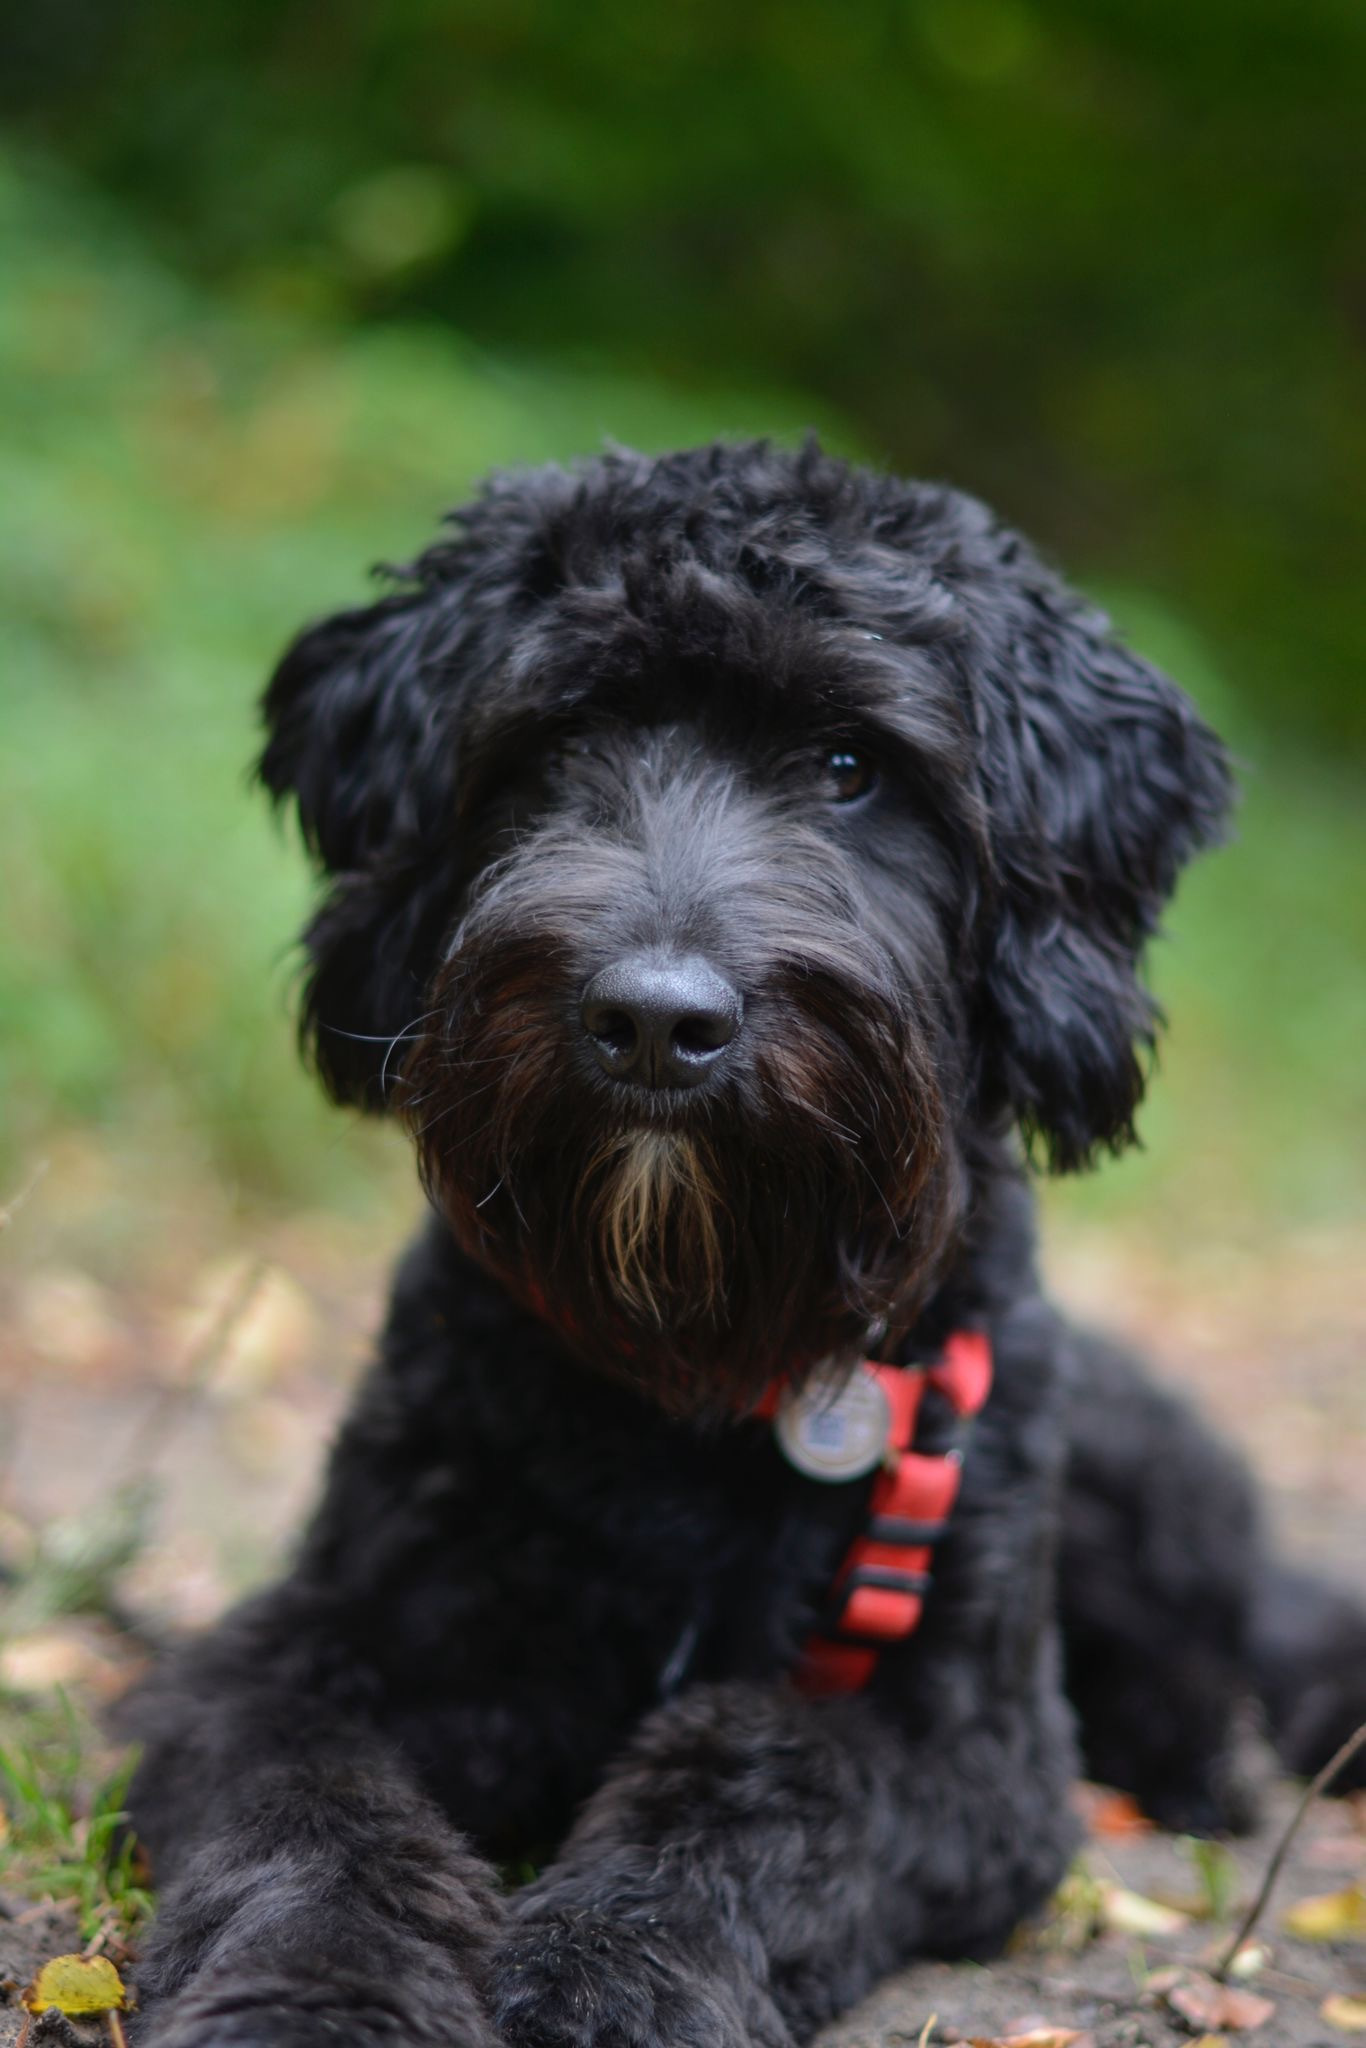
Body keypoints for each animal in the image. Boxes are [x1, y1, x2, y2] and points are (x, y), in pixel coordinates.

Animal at [125, 440, 1366, 2048]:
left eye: (849, 767)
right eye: (561, 742)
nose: (655, 1019)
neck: (696, 1354)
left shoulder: (969, 1746)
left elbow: (759, 1773)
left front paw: (617, 1971)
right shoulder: (304, 1648)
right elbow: (311, 1806)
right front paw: (320, 1994)